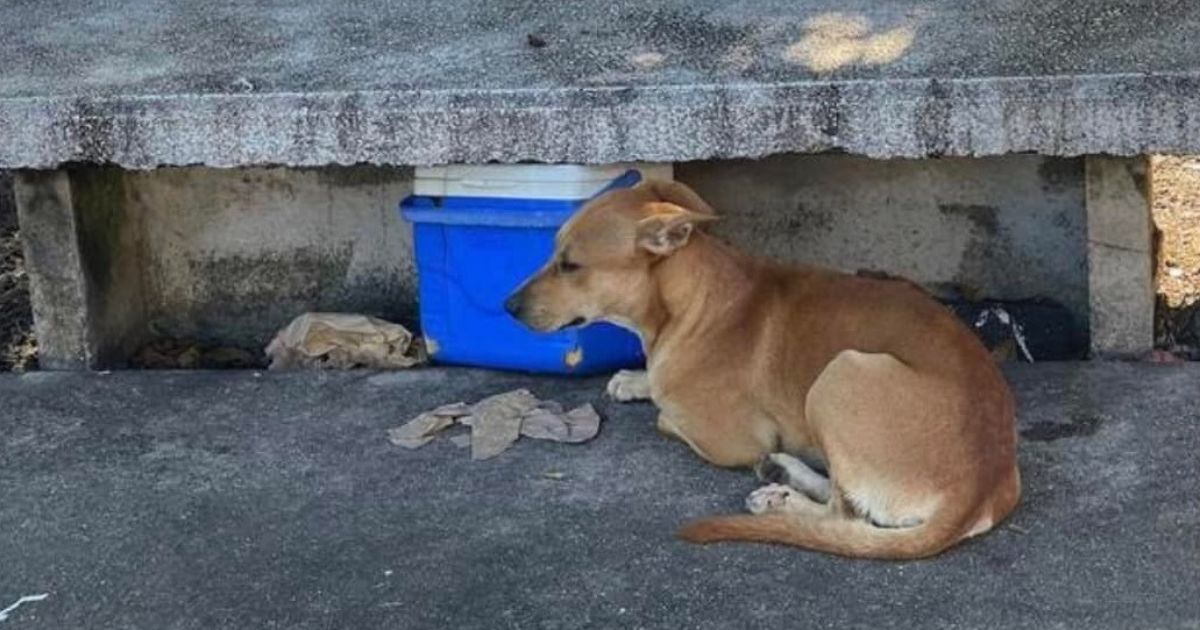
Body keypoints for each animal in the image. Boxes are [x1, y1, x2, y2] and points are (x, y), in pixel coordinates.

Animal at [506, 178, 1022, 556]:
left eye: (569, 265)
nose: (507, 307)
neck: (695, 300)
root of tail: (978, 490)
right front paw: (635, 379)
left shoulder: (732, 440)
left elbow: (665, 416)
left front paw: (649, 388)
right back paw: (783, 473)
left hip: (840, 374)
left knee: (844, 514)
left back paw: (781, 499)